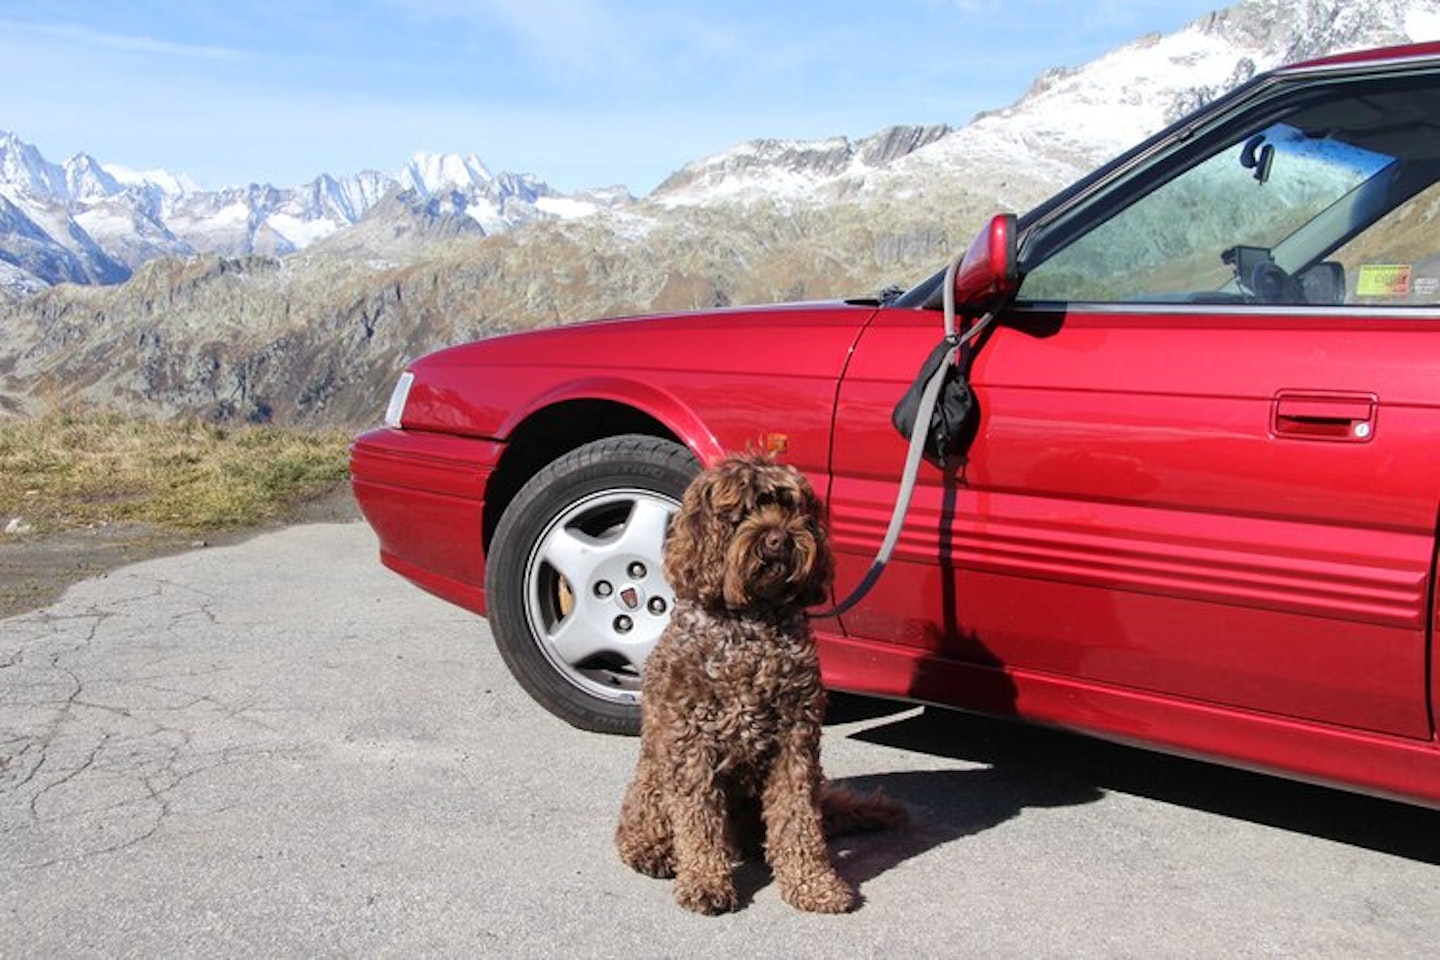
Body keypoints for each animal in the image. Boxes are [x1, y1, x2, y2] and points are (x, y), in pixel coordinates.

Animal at [613, 451, 904, 915]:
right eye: (740, 513)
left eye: (790, 507)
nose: (778, 540)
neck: (752, 622)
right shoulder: (691, 741)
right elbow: (698, 820)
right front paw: (705, 882)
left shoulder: (795, 742)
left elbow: (798, 821)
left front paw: (813, 884)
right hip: (655, 771)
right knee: (642, 822)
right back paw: (652, 849)